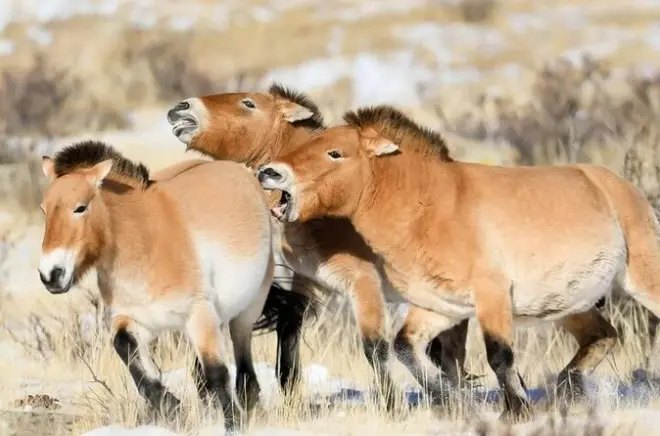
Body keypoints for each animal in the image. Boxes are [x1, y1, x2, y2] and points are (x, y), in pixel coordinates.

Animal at [38, 140, 276, 432]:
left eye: (80, 207)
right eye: (44, 209)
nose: (51, 274)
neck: (146, 243)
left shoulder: (198, 314)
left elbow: (217, 372)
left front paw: (233, 424)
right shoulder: (132, 319)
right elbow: (128, 352)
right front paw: (171, 406)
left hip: (246, 311)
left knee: (242, 362)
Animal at [166, 84, 480, 409]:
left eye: (248, 103)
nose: (181, 107)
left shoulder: (363, 284)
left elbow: (374, 347)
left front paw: (392, 406)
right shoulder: (302, 283)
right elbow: (288, 335)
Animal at [255, 105, 660, 420]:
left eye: (335, 153)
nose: (270, 173)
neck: (430, 208)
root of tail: (621, 187)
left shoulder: (491, 298)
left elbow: (499, 356)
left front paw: (517, 410)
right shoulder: (442, 307)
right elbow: (407, 348)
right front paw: (451, 399)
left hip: (639, 279)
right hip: (568, 304)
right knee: (603, 336)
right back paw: (566, 388)